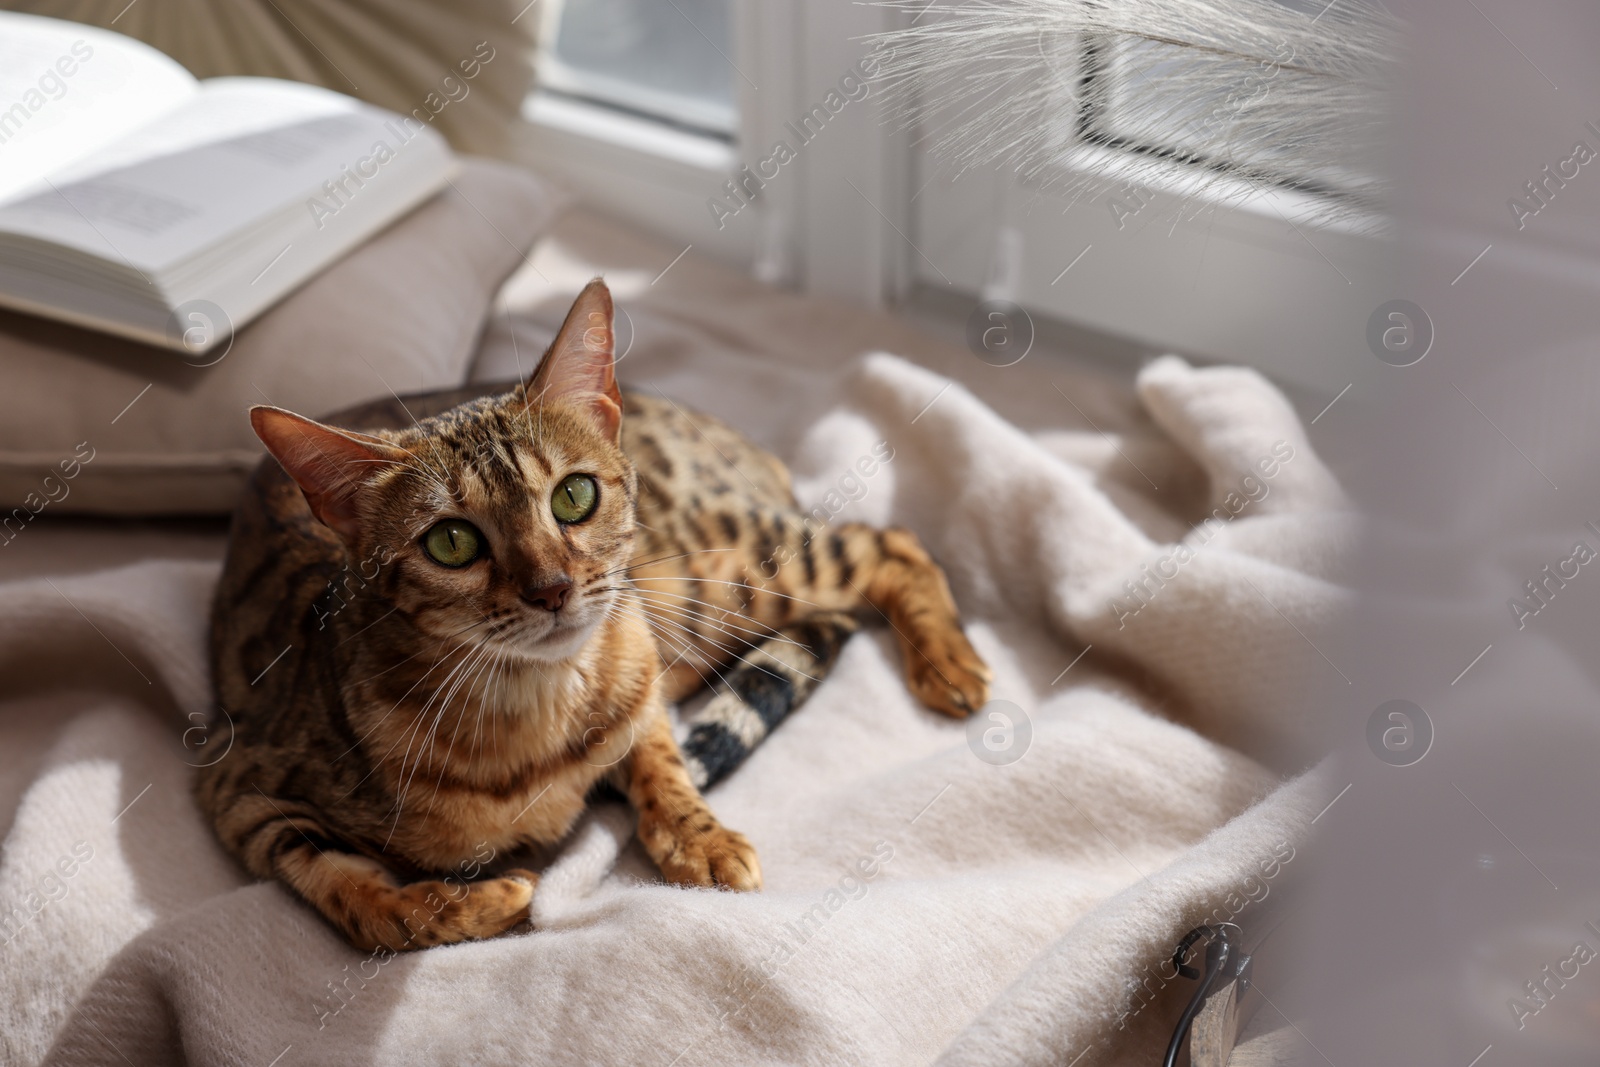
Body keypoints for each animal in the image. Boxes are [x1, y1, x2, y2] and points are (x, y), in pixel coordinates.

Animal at [200, 275, 985, 953]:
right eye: (451, 542)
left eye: (573, 496)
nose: (550, 588)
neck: (540, 707)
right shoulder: (240, 790)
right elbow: (359, 901)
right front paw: (479, 900)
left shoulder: (640, 659)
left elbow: (661, 757)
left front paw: (699, 836)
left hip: (715, 572)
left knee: (891, 541)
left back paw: (952, 665)